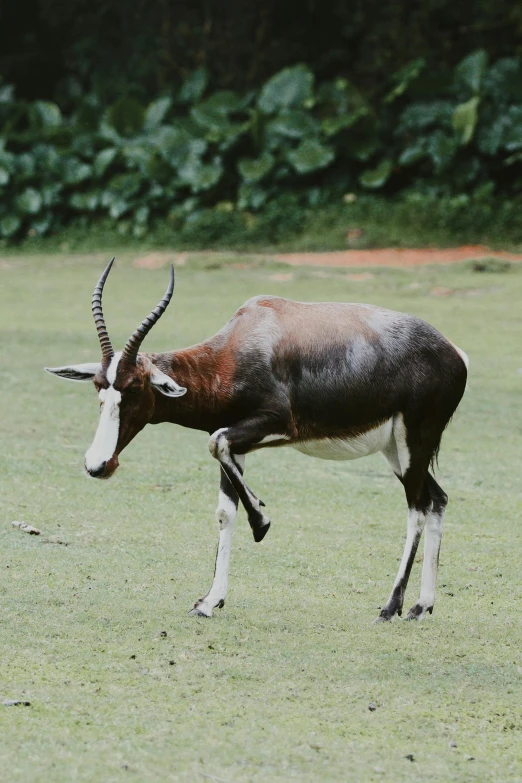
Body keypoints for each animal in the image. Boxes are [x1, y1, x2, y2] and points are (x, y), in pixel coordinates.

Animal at [45, 260, 468, 620]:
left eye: (133, 388)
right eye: (98, 386)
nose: (99, 464)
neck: (242, 341)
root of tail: (454, 354)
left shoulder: (277, 426)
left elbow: (215, 443)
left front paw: (262, 522)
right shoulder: (239, 441)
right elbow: (224, 509)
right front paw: (209, 601)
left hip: (413, 441)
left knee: (416, 507)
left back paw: (390, 607)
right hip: (395, 450)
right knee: (437, 499)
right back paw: (421, 607)